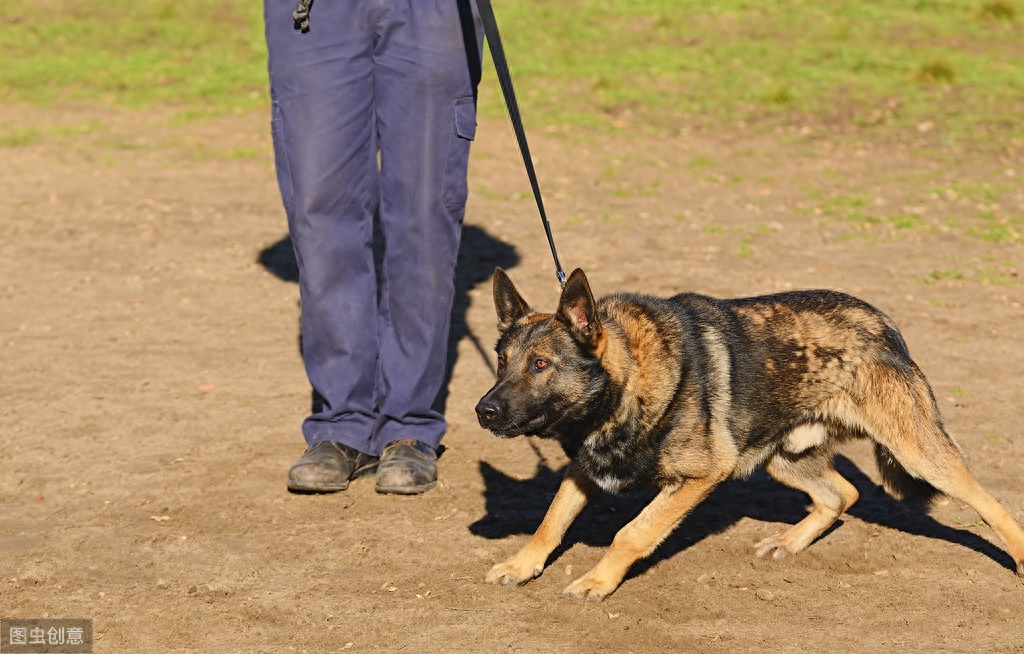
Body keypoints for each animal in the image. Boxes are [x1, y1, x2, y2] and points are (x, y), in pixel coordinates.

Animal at [473, 268, 1024, 601]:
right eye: (502, 360)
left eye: (541, 364)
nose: (483, 411)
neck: (624, 386)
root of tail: (883, 324)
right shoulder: (585, 470)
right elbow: (551, 521)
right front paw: (521, 566)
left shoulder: (699, 478)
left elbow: (631, 533)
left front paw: (597, 581)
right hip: (779, 457)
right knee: (843, 493)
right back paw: (789, 542)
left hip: (918, 454)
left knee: (989, 503)